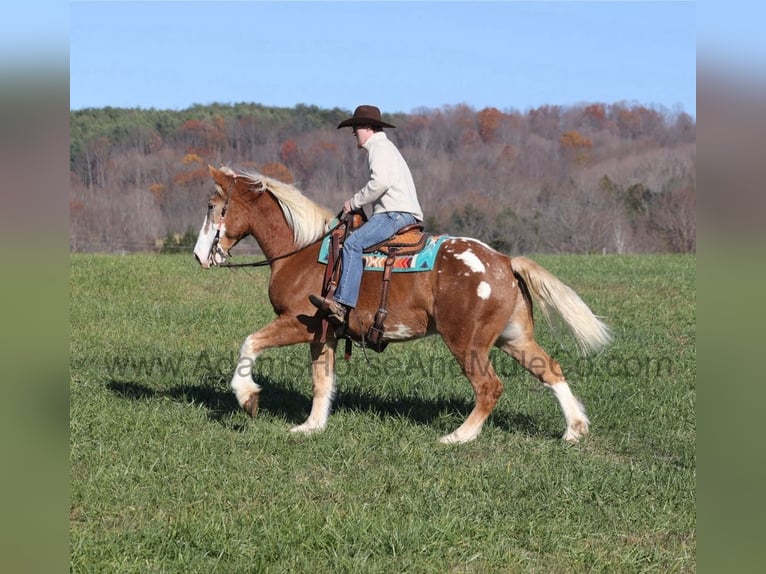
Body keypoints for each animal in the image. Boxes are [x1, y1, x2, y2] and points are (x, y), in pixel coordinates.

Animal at [196, 166, 612, 446]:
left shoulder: (300, 322)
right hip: (513, 338)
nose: (200, 255)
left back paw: (458, 437)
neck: (303, 251)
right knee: (550, 370)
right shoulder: (324, 332)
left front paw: (247, 397)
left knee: (489, 387)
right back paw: (574, 430)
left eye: (213, 205)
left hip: (467, 343)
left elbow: (250, 343)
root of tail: (504, 261)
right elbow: (322, 380)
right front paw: (311, 427)